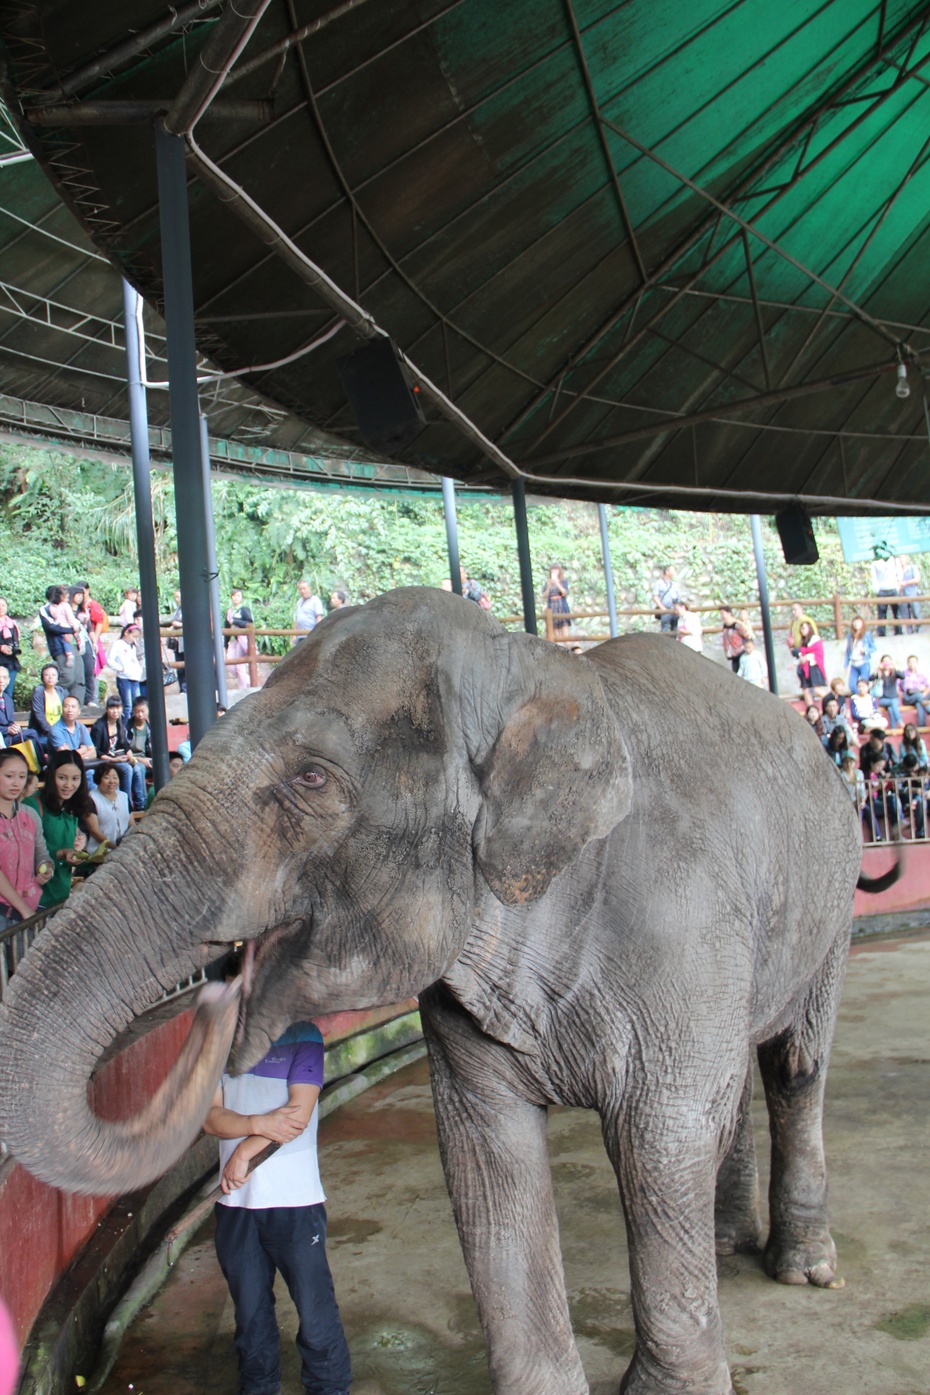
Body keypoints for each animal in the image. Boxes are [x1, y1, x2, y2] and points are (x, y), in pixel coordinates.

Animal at [0, 591, 886, 1395]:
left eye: (312, 777)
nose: (218, 993)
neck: (531, 667)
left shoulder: (682, 921)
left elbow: (658, 1146)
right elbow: (489, 1167)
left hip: (831, 894)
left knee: (792, 1068)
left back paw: (803, 1266)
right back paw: (729, 1240)